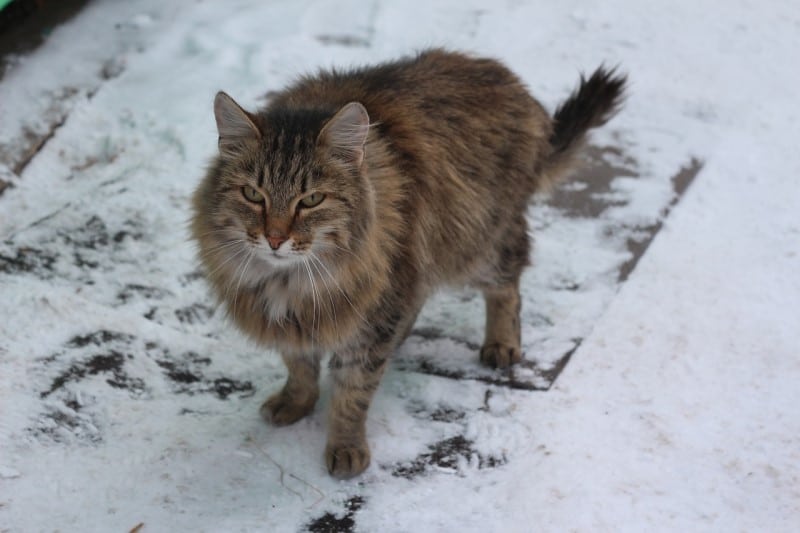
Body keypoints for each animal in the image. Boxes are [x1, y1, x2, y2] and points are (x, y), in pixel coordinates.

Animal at [192, 47, 624, 476]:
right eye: (253, 194)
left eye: (311, 200)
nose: (275, 239)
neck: (289, 282)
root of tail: (508, 78)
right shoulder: (298, 322)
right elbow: (299, 367)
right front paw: (296, 402)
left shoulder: (371, 319)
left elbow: (352, 393)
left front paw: (346, 448)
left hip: (478, 244)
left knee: (508, 287)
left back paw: (501, 344)